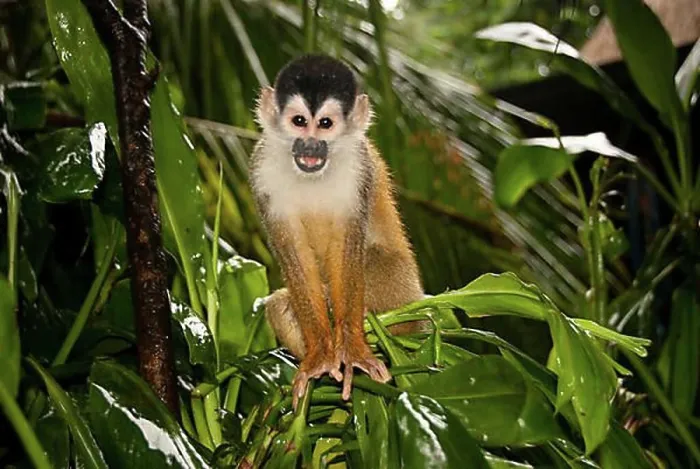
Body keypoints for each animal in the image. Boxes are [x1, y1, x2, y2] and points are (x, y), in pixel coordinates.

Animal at [250, 54, 424, 408]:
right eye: (299, 121)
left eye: (326, 124)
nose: (311, 146)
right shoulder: (259, 171)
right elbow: (292, 253)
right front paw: (320, 356)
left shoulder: (360, 169)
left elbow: (348, 247)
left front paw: (352, 351)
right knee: (279, 304)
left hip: (401, 289)